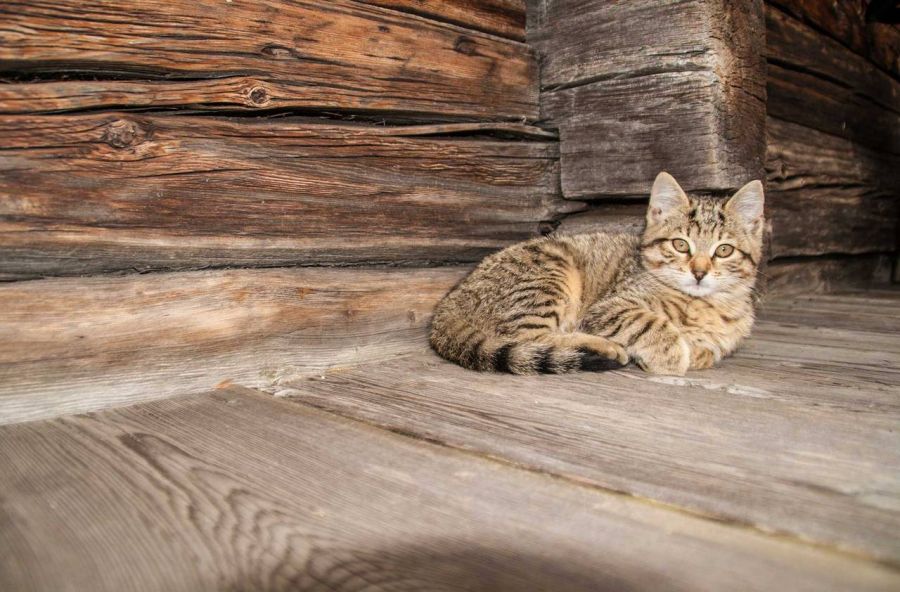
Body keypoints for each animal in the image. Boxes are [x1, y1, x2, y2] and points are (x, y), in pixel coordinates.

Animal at [428, 171, 760, 374]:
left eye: (724, 250)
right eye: (680, 245)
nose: (699, 272)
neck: (703, 305)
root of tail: (452, 300)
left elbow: (711, 349)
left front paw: (698, 351)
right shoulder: (609, 307)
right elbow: (649, 323)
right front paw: (672, 353)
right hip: (549, 273)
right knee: (531, 338)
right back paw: (604, 348)